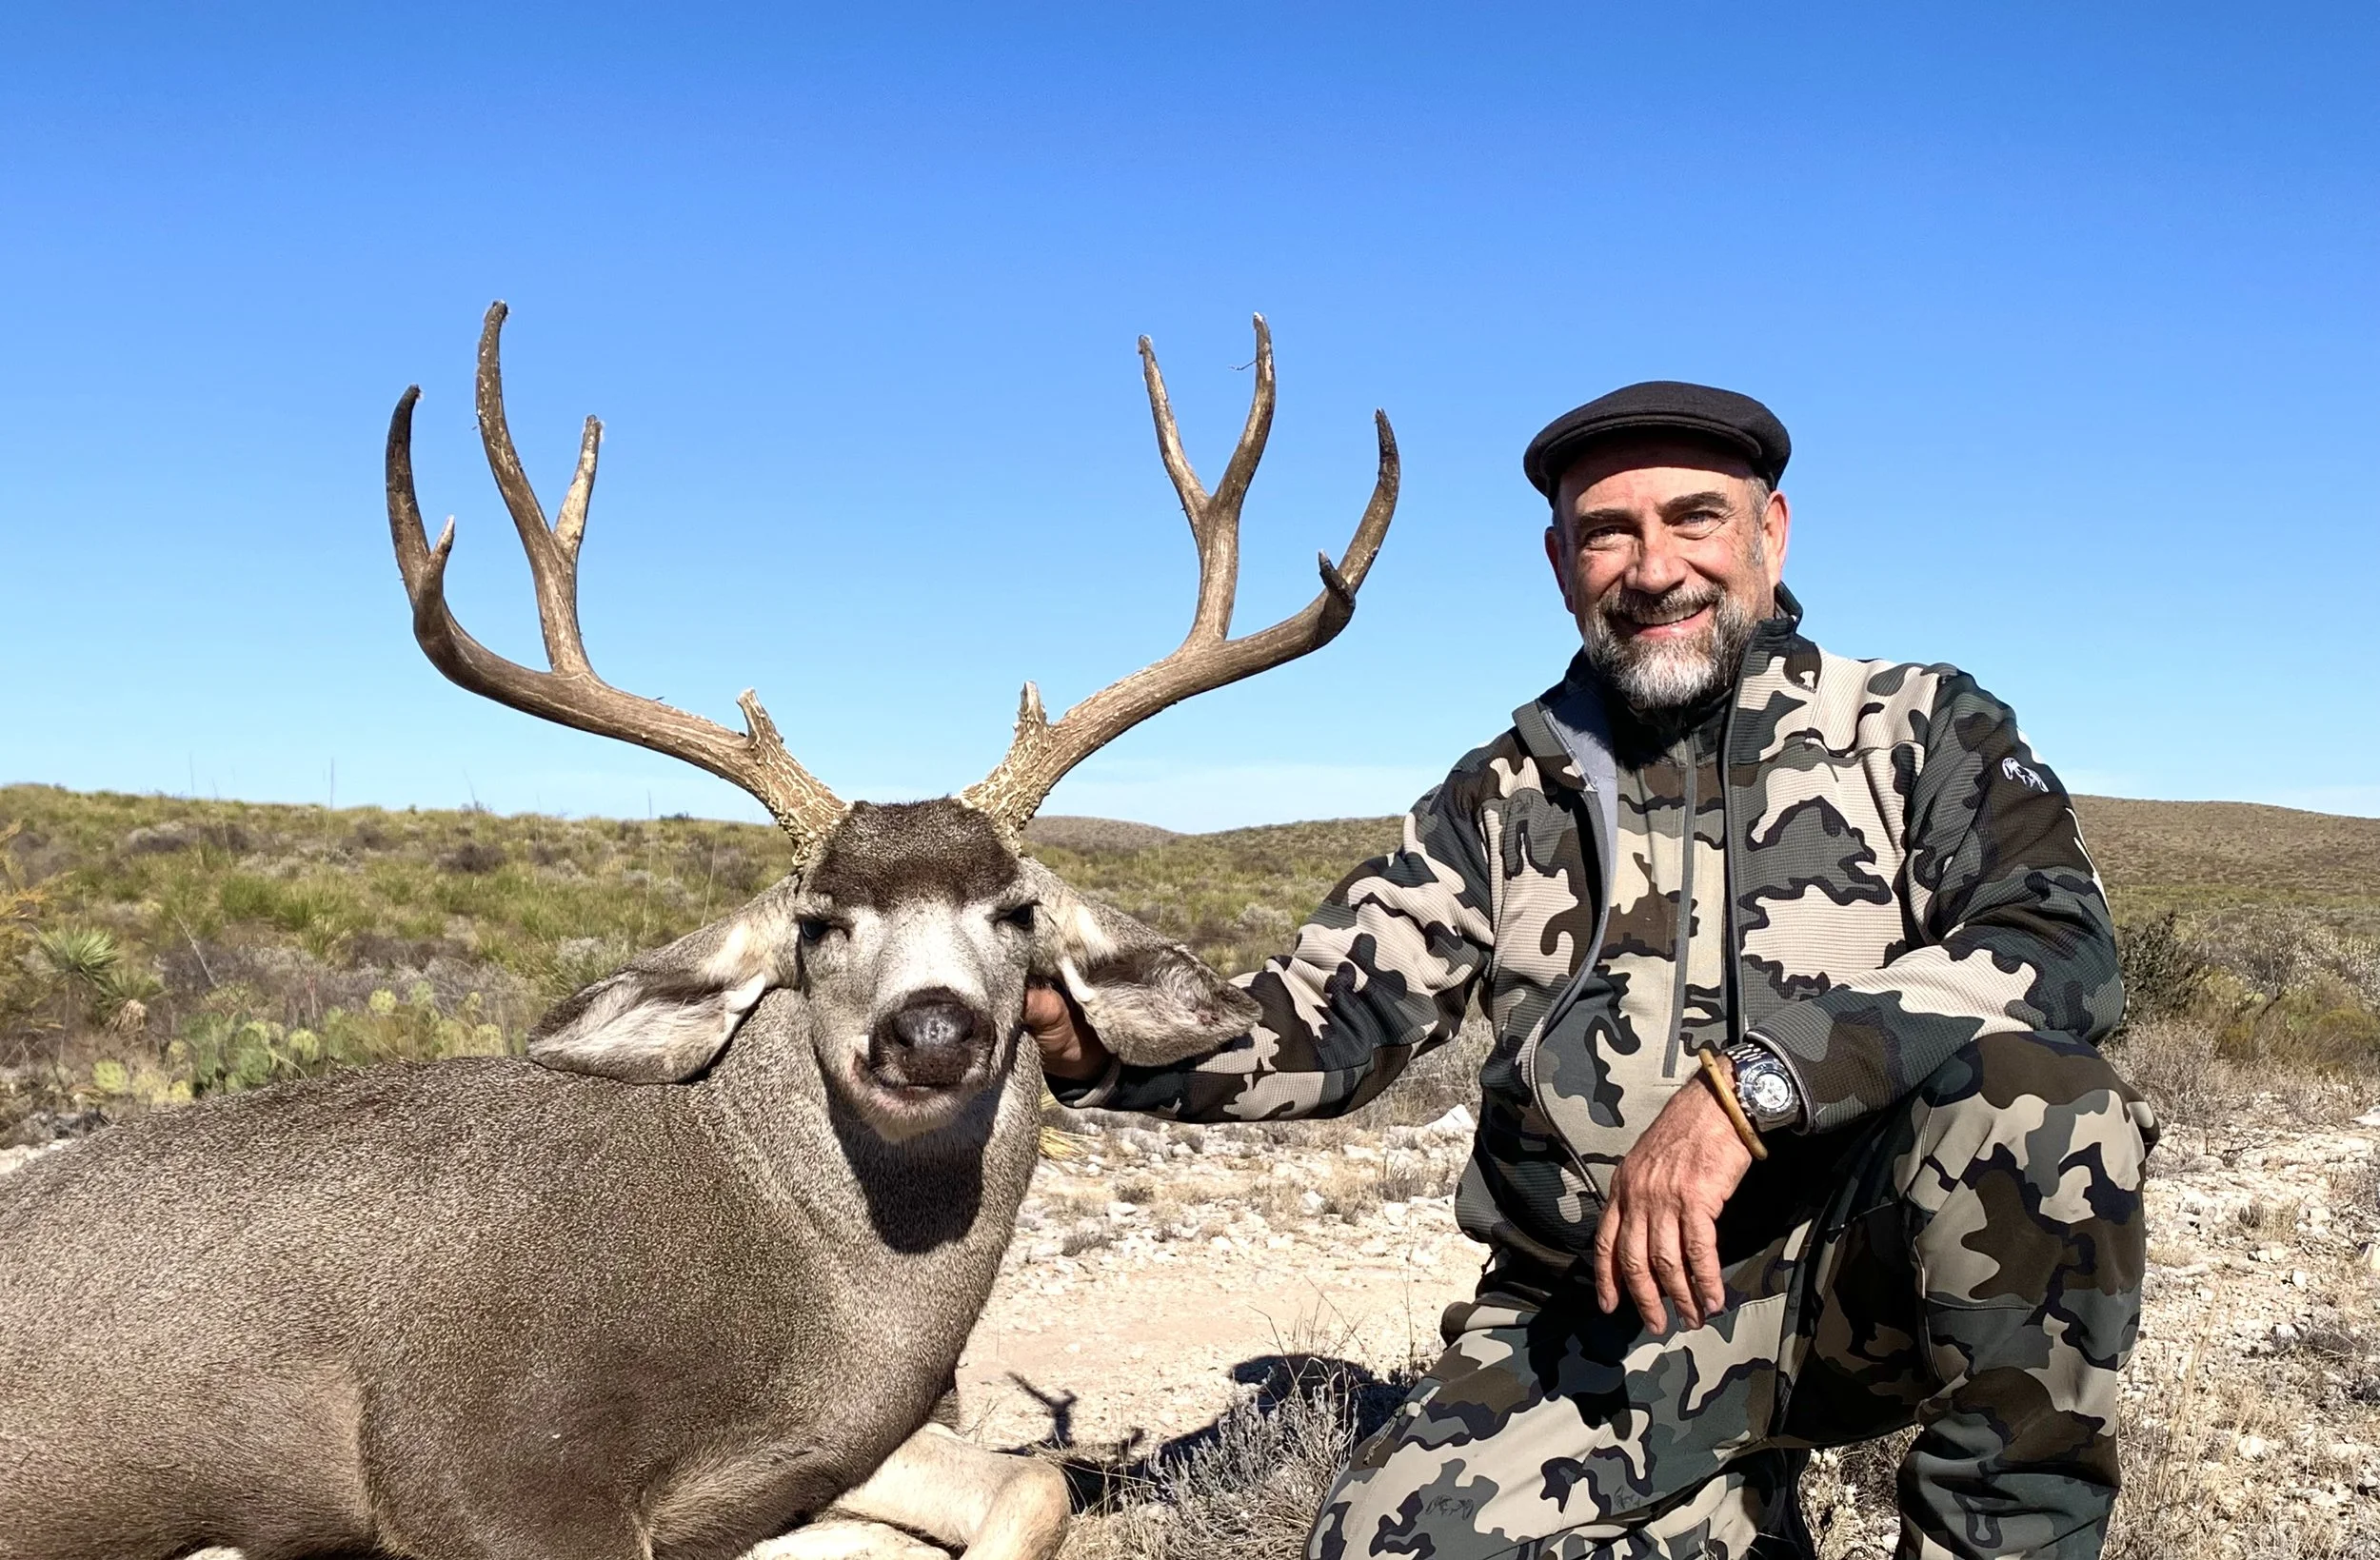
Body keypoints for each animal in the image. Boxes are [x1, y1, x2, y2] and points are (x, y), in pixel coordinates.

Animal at [0, 303, 1396, 1560]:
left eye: (1014, 909)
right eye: (819, 920)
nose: (931, 1029)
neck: (810, 1291)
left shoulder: (826, 1448)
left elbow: (1030, 1487)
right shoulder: (484, 1459)